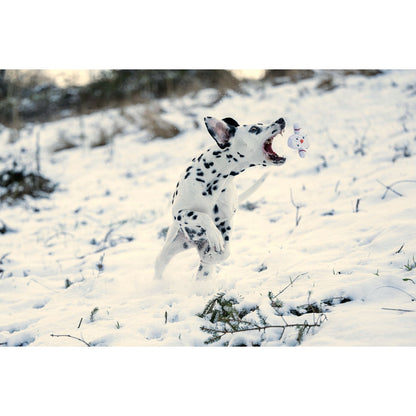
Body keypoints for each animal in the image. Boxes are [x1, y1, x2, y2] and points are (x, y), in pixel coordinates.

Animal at [154, 115, 288, 282]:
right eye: (254, 129)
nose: (281, 120)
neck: (217, 178)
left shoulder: (226, 221)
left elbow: (225, 252)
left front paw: (211, 256)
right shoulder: (180, 213)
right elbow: (202, 216)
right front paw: (213, 234)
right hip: (169, 248)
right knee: (160, 263)